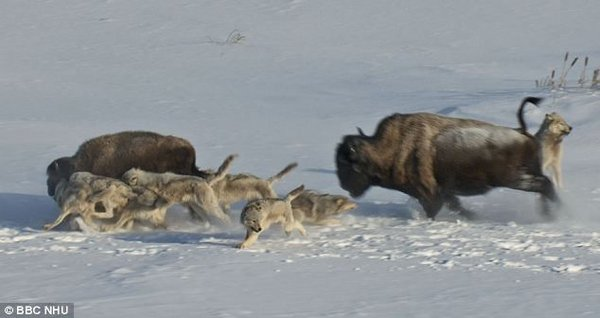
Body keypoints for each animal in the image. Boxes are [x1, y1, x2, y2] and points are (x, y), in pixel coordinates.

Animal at [336, 98, 560, 220]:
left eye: (347, 164)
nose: (343, 185)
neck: (387, 148)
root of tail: (521, 131)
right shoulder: (446, 193)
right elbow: (457, 206)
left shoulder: (430, 195)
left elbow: (434, 209)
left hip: (514, 179)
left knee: (545, 185)